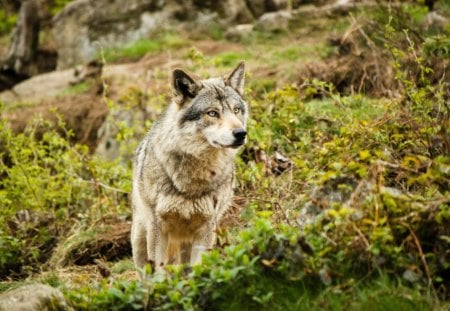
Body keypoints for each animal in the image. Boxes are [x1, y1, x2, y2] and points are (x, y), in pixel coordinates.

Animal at [130, 62, 250, 272]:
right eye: (212, 113)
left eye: (236, 110)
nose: (241, 133)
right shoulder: (158, 228)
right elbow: (159, 272)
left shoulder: (206, 229)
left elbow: (198, 268)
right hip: (139, 242)